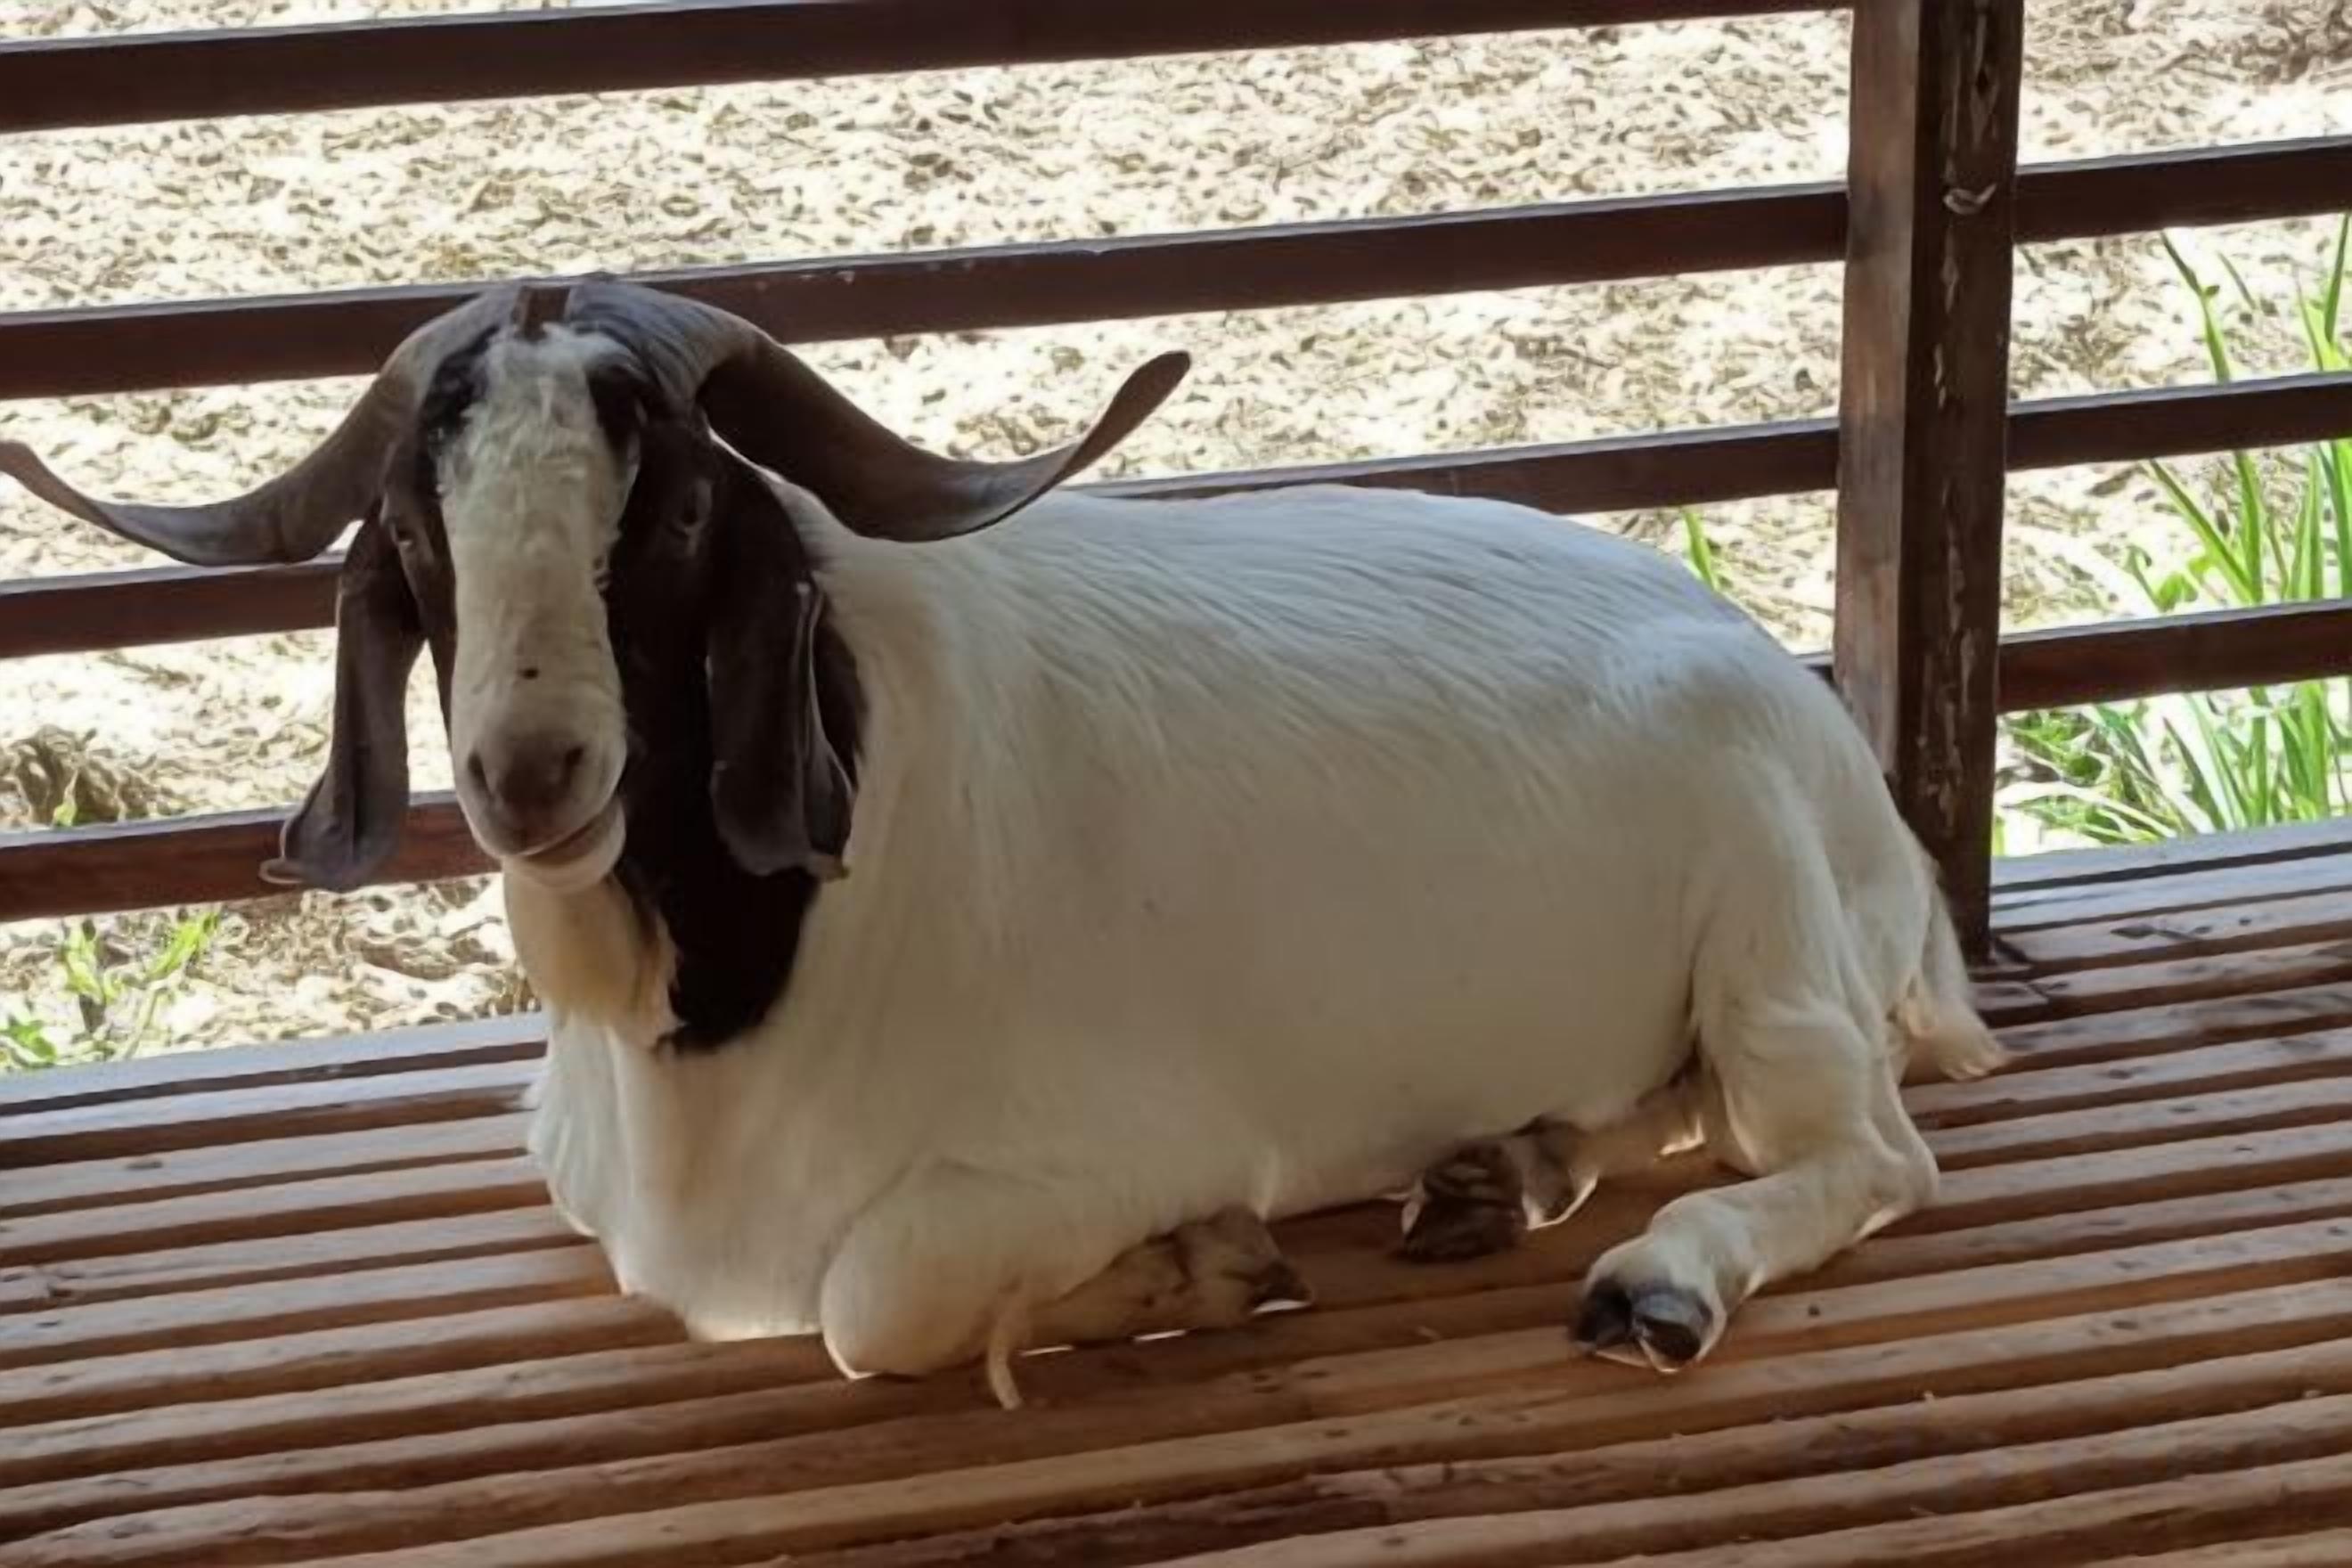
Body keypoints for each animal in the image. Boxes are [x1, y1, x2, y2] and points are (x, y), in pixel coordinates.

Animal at [1, 280, 2002, 1405]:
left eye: (677, 514)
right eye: (420, 536)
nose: (532, 771)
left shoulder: (1115, 1141)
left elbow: (868, 1300)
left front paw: (1198, 1271)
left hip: (1768, 928)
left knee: (1862, 1156)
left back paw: (1652, 1274)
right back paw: (1500, 1168)